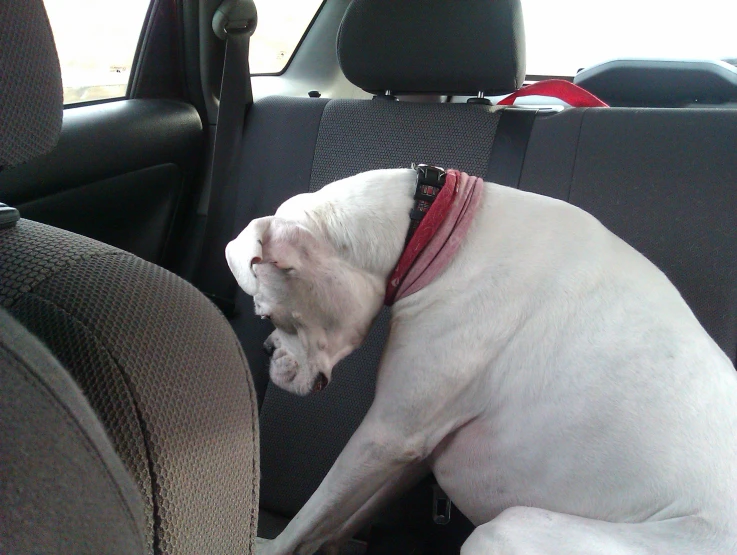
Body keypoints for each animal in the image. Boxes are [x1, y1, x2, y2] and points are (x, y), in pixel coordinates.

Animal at [226, 167, 736, 552]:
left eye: (269, 314)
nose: (266, 350)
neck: (436, 230)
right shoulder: (412, 450)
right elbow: (338, 518)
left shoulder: (384, 436)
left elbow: (313, 511)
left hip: (508, 531)